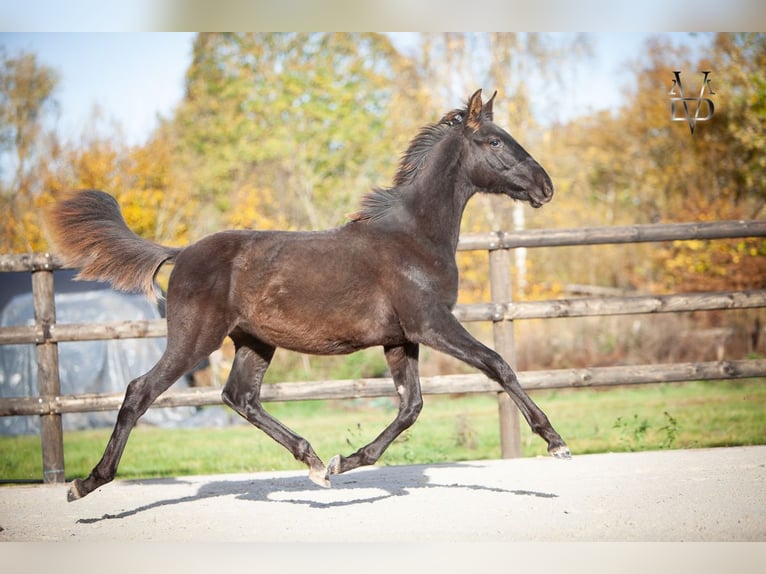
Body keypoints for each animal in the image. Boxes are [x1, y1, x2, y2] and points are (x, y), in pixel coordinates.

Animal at [48, 89, 570, 502]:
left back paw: (315, 463)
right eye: (495, 141)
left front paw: (345, 461)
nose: (546, 186)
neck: (414, 236)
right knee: (140, 391)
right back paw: (85, 483)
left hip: (254, 342)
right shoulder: (432, 324)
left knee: (239, 396)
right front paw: (554, 441)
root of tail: (181, 252)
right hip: (195, 338)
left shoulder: (401, 339)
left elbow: (411, 407)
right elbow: (497, 365)